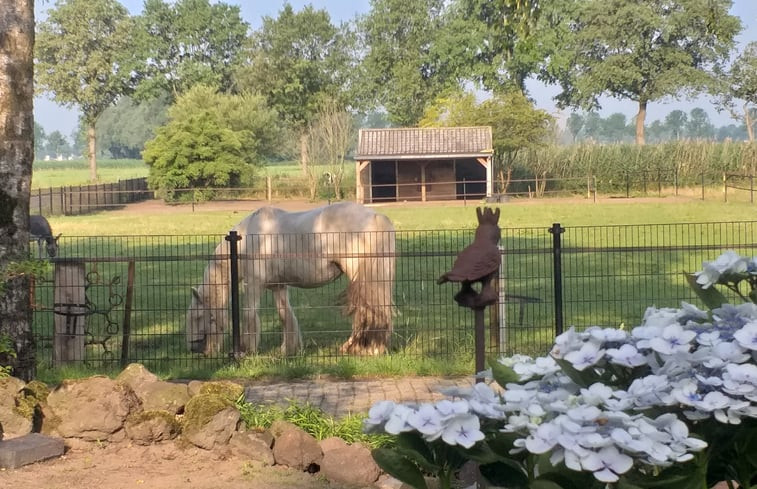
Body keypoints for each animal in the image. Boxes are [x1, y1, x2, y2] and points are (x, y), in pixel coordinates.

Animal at [186, 201, 396, 354]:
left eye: (198, 316)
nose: (196, 349)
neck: (245, 239)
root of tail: (376, 216)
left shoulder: (253, 285)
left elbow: (249, 314)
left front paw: (247, 350)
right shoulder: (278, 286)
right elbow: (285, 316)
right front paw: (287, 350)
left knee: (365, 311)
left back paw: (360, 349)